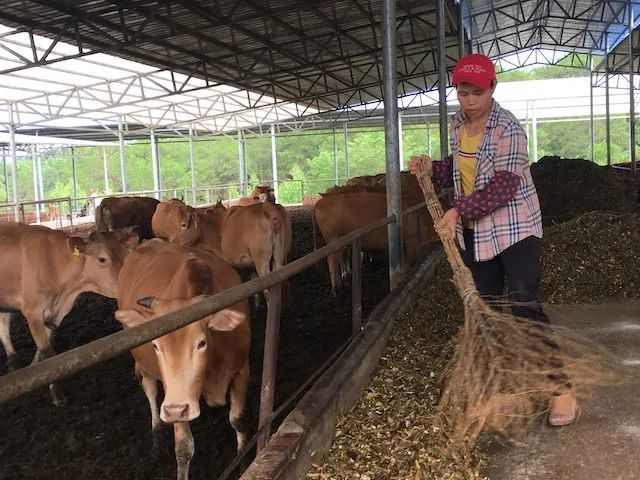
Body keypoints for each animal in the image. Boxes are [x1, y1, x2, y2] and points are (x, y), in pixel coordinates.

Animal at [0, 223, 139, 404]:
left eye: (125, 255)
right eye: (102, 259)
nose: (126, 284)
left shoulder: (55, 315)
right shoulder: (33, 311)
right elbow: (47, 352)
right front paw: (57, 395)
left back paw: (12, 361)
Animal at [115, 240, 250, 480]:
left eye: (201, 343)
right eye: (156, 346)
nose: (175, 411)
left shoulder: (242, 368)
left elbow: (238, 421)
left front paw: (243, 465)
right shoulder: (175, 396)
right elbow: (184, 447)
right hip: (144, 370)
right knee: (151, 393)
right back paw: (157, 440)